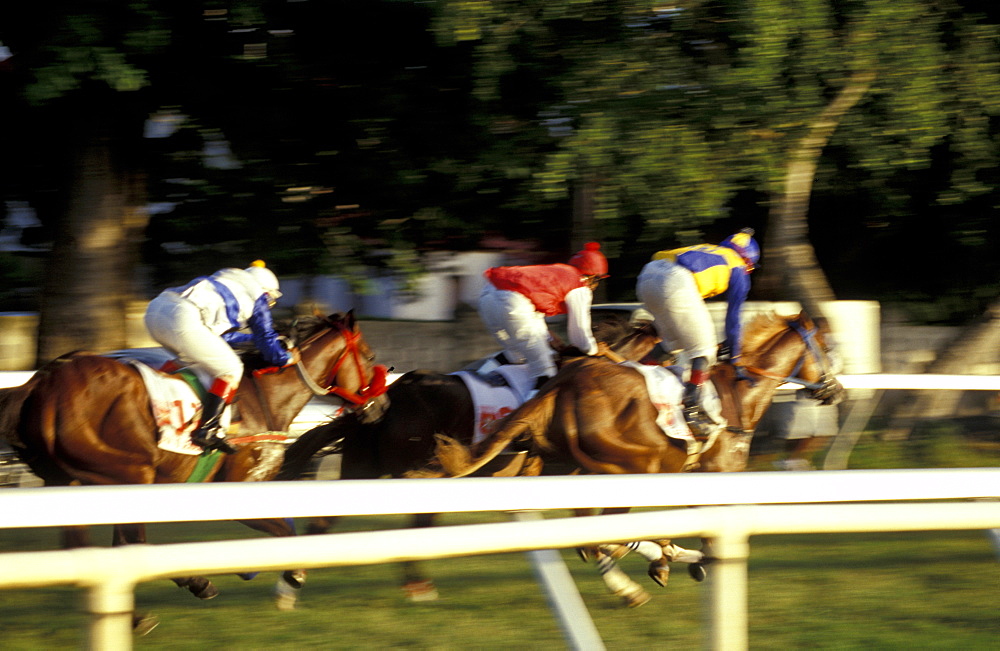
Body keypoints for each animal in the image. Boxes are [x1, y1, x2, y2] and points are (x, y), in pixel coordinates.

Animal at [1, 310, 388, 616]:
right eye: (370, 357)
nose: (382, 407)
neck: (264, 400)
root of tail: (43, 381)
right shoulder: (240, 490)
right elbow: (287, 534)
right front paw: (292, 576)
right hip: (129, 471)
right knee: (131, 542)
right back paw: (191, 583)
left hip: (72, 479)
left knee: (87, 545)